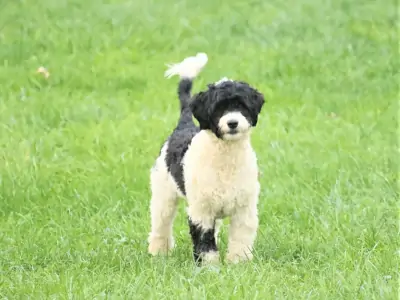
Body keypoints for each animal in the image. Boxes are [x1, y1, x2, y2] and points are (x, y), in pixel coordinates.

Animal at [148, 52, 264, 264]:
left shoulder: (244, 209)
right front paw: (209, 266)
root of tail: (184, 124)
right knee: (161, 224)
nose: (232, 123)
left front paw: (239, 262)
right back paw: (158, 252)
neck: (226, 159)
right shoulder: (201, 210)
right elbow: (204, 240)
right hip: (163, 193)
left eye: (241, 105)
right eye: (218, 108)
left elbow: (241, 237)